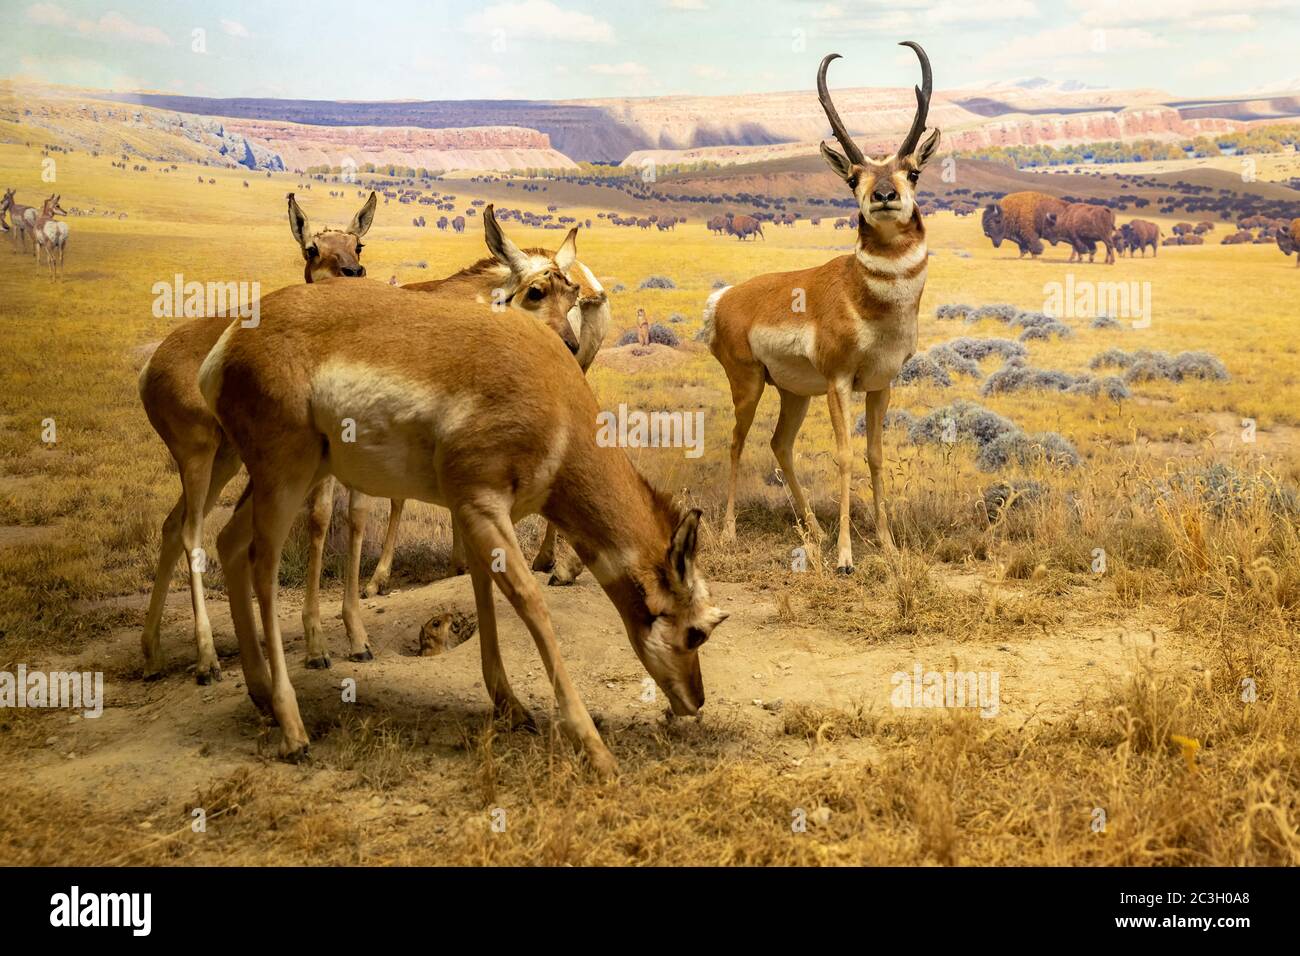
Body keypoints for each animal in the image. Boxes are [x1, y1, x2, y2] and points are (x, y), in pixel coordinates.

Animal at [198, 280, 722, 775]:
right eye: (698, 632)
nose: (696, 701)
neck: (556, 399)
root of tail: (231, 339)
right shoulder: (481, 504)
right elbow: (530, 601)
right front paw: (595, 749)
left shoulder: (475, 514)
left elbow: (483, 592)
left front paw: (512, 706)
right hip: (286, 476)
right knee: (261, 565)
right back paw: (292, 728)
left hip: (293, 475)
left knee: (228, 542)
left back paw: (261, 695)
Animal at [702, 41, 935, 572]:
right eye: (853, 177)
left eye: (911, 170)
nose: (884, 195)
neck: (867, 299)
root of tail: (726, 296)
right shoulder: (838, 382)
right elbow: (844, 455)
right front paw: (848, 556)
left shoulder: (880, 385)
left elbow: (874, 455)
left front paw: (888, 545)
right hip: (749, 385)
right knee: (737, 442)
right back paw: (729, 532)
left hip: (793, 393)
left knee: (779, 444)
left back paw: (814, 531)